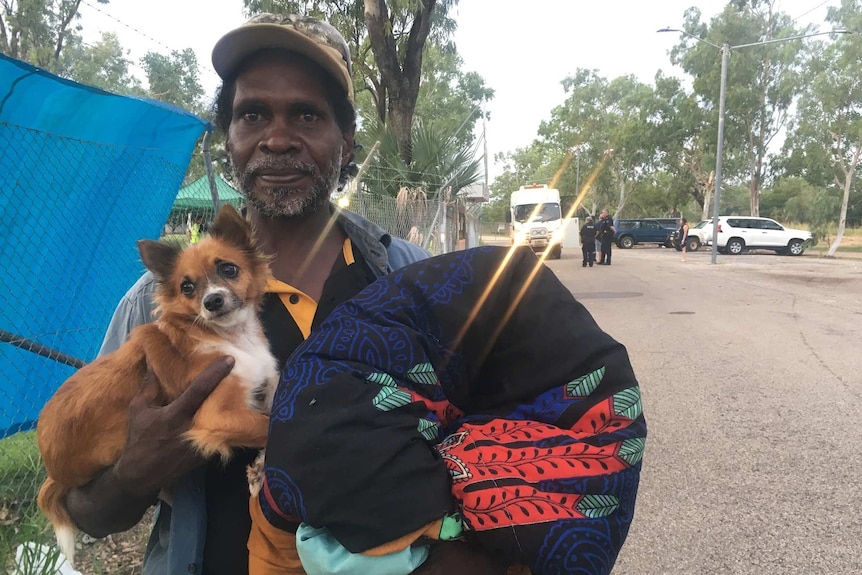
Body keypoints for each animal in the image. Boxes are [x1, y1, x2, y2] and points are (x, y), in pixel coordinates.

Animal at [37, 204, 280, 568]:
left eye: (229, 269)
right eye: (187, 287)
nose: (212, 301)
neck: (232, 338)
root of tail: (54, 468)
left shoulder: (263, 387)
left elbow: (275, 413)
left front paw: (262, 467)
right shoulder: (215, 416)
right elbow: (266, 426)